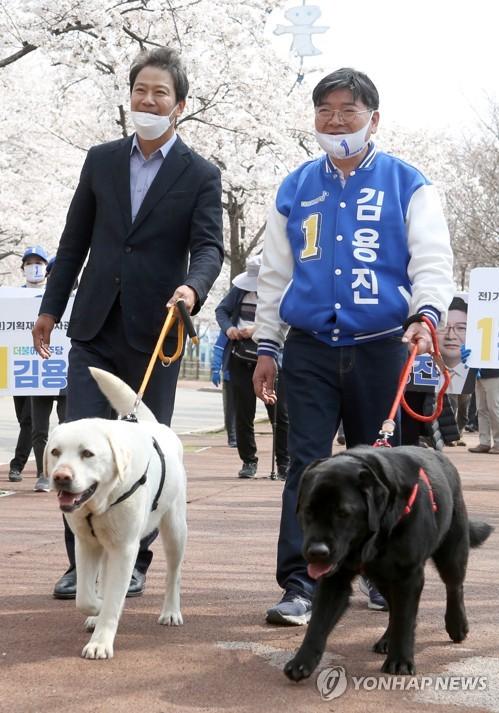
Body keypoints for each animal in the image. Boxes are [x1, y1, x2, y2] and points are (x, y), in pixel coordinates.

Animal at [45, 370, 188, 660]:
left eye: (87, 453)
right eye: (55, 452)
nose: (61, 477)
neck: (101, 503)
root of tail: (153, 424)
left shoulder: (125, 548)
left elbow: (113, 600)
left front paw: (100, 642)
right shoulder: (86, 543)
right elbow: (85, 597)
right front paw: (96, 610)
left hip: (175, 530)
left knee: (173, 573)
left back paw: (170, 612)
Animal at [284, 444, 494, 680]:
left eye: (342, 513)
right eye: (308, 510)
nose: (317, 552)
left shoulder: (409, 575)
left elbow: (405, 619)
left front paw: (400, 661)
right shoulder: (335, 578)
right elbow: (318, 622)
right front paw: (302, 661)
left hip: (451, 551)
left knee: (454, 586)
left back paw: (457, 625)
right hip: (382, 578)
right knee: (393, 606)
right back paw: (387, 639)